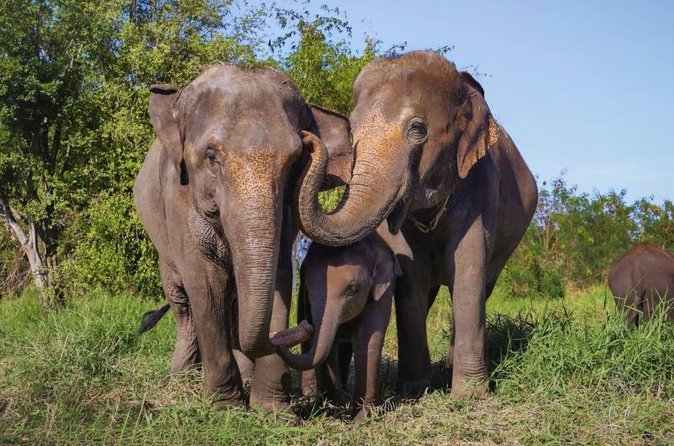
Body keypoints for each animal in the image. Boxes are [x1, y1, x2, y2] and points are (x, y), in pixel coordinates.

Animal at [133, 64, 351, 411]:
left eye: (295, 159)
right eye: (211, 155)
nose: (305, 326)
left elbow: (279, 277)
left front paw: (274, 410)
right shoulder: (178, 196)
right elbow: (205, 283)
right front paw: (224, 406)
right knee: (182, 302)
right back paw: (181, 375)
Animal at [276, 227, 401, 420]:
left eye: (352, 289)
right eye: (307, 286)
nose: (306, 326)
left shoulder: (384, 290)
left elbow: (367, 335)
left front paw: (363, 417)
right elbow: (330, 343)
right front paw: (334, 407)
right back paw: (312, 394)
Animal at [294, 50, 538, 398]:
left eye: (417, 129)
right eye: (353, 130)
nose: (306, 136)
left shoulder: (482, 183)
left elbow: (469, 271)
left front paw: (468, 395)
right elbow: (411, 276)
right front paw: (413, 390)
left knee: (483, 285)